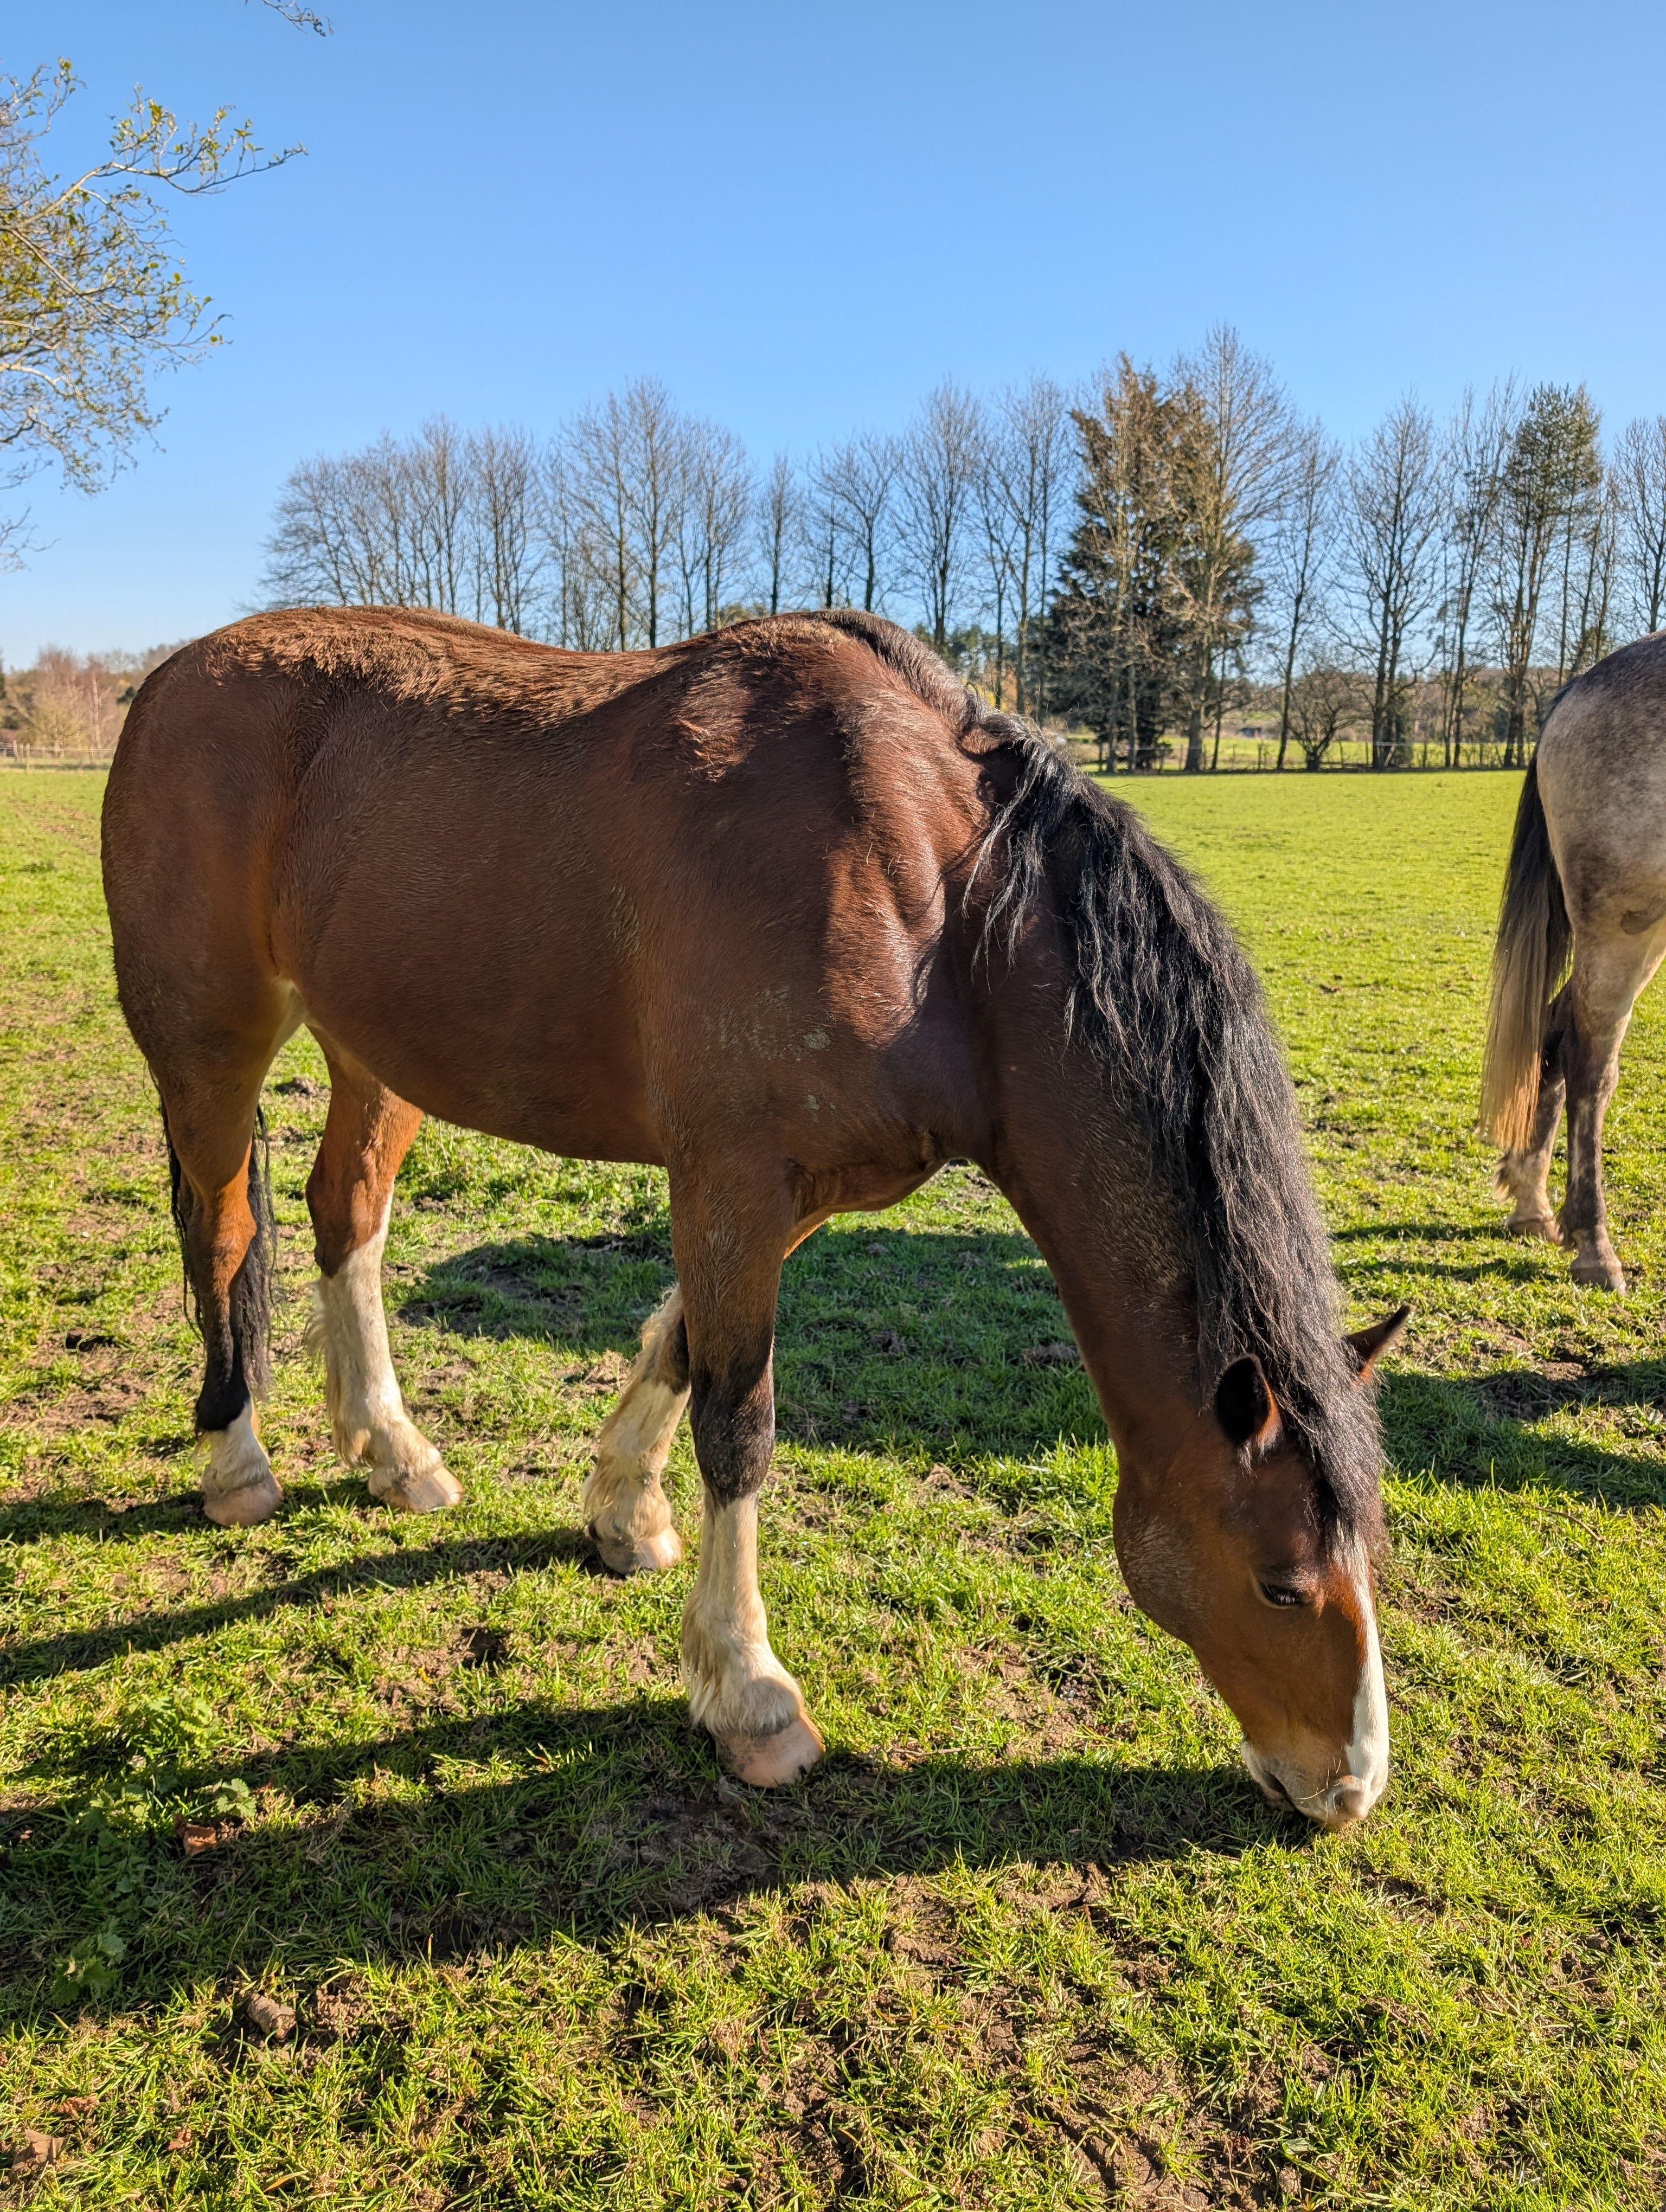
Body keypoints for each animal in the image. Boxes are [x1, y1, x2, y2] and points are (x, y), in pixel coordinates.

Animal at [102, 604, 1406, 1827]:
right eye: (1281, 1581)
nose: (1349, 1788)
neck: (935, 902)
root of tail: (168, 676)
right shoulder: (731, 1175)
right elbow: (742, 1425)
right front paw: (749, 1692)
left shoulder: (791, 1192)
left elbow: (682, 1348)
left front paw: (622, 1515)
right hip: (212, 1043)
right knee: (224, 1235)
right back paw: (238, 1462)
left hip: (375, 1050)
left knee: (347, 1218)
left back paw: (390, 1448)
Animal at [1483, 631, 1666, 1291]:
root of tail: (1580, 686)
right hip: (1622, 927)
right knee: (1589, 1060)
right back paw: (1594, 1244)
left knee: (1557, 1028)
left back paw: (1532, 1203)